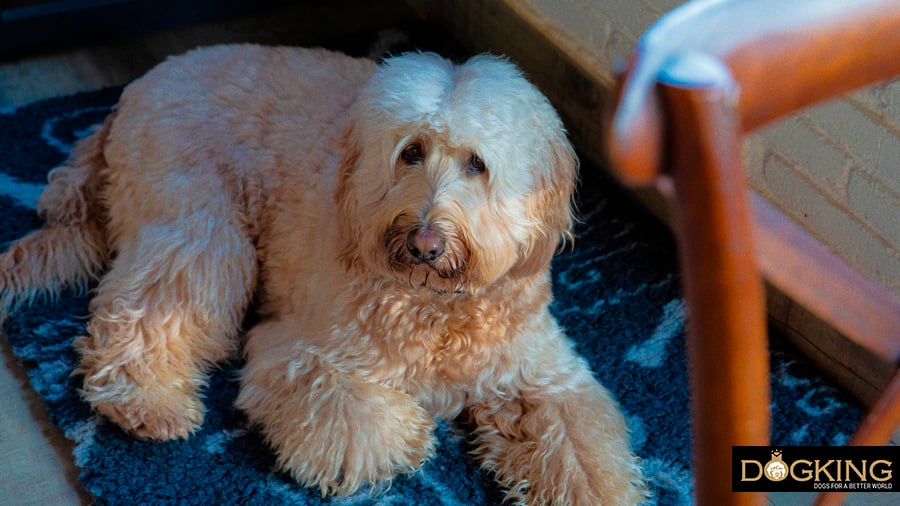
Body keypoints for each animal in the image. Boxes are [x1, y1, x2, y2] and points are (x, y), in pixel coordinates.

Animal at [0, 45, 648, 504]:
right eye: (410, 152)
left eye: (477, 164)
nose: (425, 240)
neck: (435, 306)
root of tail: (132, 91)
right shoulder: (299, 352)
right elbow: (366, 425)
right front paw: (412, 432)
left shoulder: (547, 376)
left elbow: (582, 448)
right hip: (200, 227)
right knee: (145, 308)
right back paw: (146, 401)